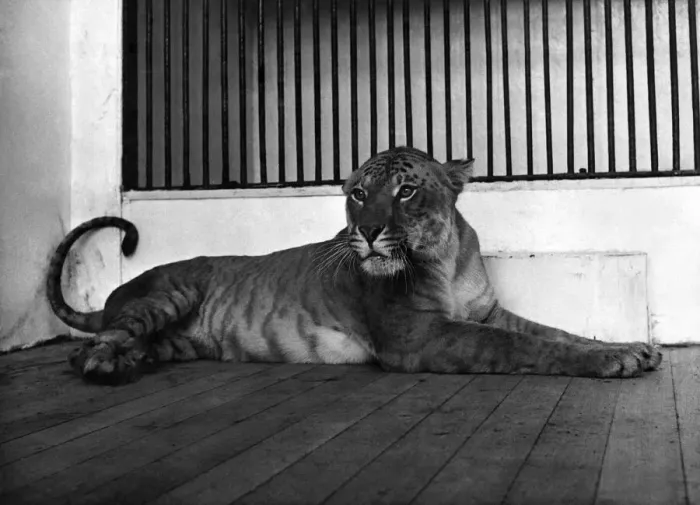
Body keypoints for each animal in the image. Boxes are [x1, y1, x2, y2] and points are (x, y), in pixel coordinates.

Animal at [47, 146, 662, 385]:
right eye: (359, 194)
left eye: (406, 191)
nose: (365, 231)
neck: (445, 259)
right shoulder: (415, 335)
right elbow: (524, 347)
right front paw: (613, 361)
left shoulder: (486, 312)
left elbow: (555, 332)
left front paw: (631, 347)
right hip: (169, 294)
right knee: (96, 343)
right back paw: (106, 365)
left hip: (181, 339)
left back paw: (131, 361)